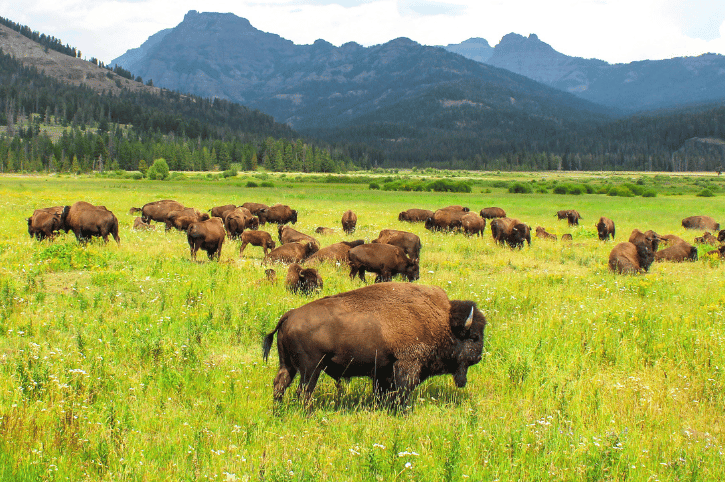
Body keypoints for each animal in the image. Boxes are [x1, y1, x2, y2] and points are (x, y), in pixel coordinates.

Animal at [262, 283, 487, 403]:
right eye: (474, 337)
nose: (478, 357)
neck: (441, 321)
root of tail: (289, 316)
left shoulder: (383, 371)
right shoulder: (407, 365)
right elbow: (402, 392)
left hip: (288, 365)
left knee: (280, 384)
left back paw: (278, 410)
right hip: (311, 369)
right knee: (304, 392)